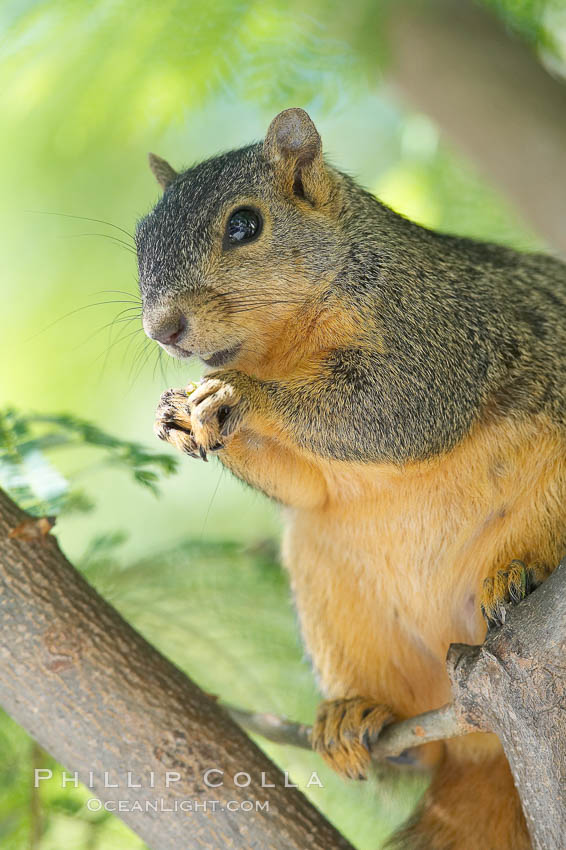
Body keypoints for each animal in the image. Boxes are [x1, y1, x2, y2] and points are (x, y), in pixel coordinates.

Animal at [136, 109, 566, 844]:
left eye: (244, 225)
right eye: (139, 241)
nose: (163, 328)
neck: (285, 344)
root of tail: (487, 739)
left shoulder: (438, 332)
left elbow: (400, 411)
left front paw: (241, 393)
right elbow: (305, 486)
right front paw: (177, 414)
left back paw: (521, 569)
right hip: (330, 592)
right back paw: (357, 717)